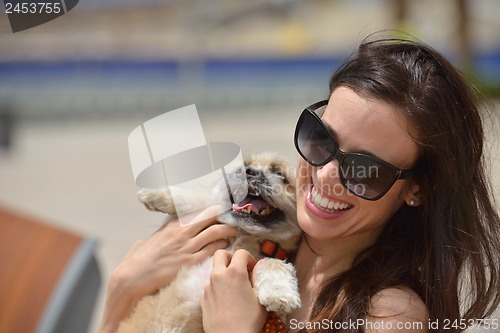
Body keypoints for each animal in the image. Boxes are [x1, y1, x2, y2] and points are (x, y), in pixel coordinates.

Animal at [117, 152, 302, 332]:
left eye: (280, 174)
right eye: (244, 165)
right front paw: (155, 196)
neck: (242, 234)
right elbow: (204, 200)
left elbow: (273, 263)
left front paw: (278, 293)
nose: (247, 172)